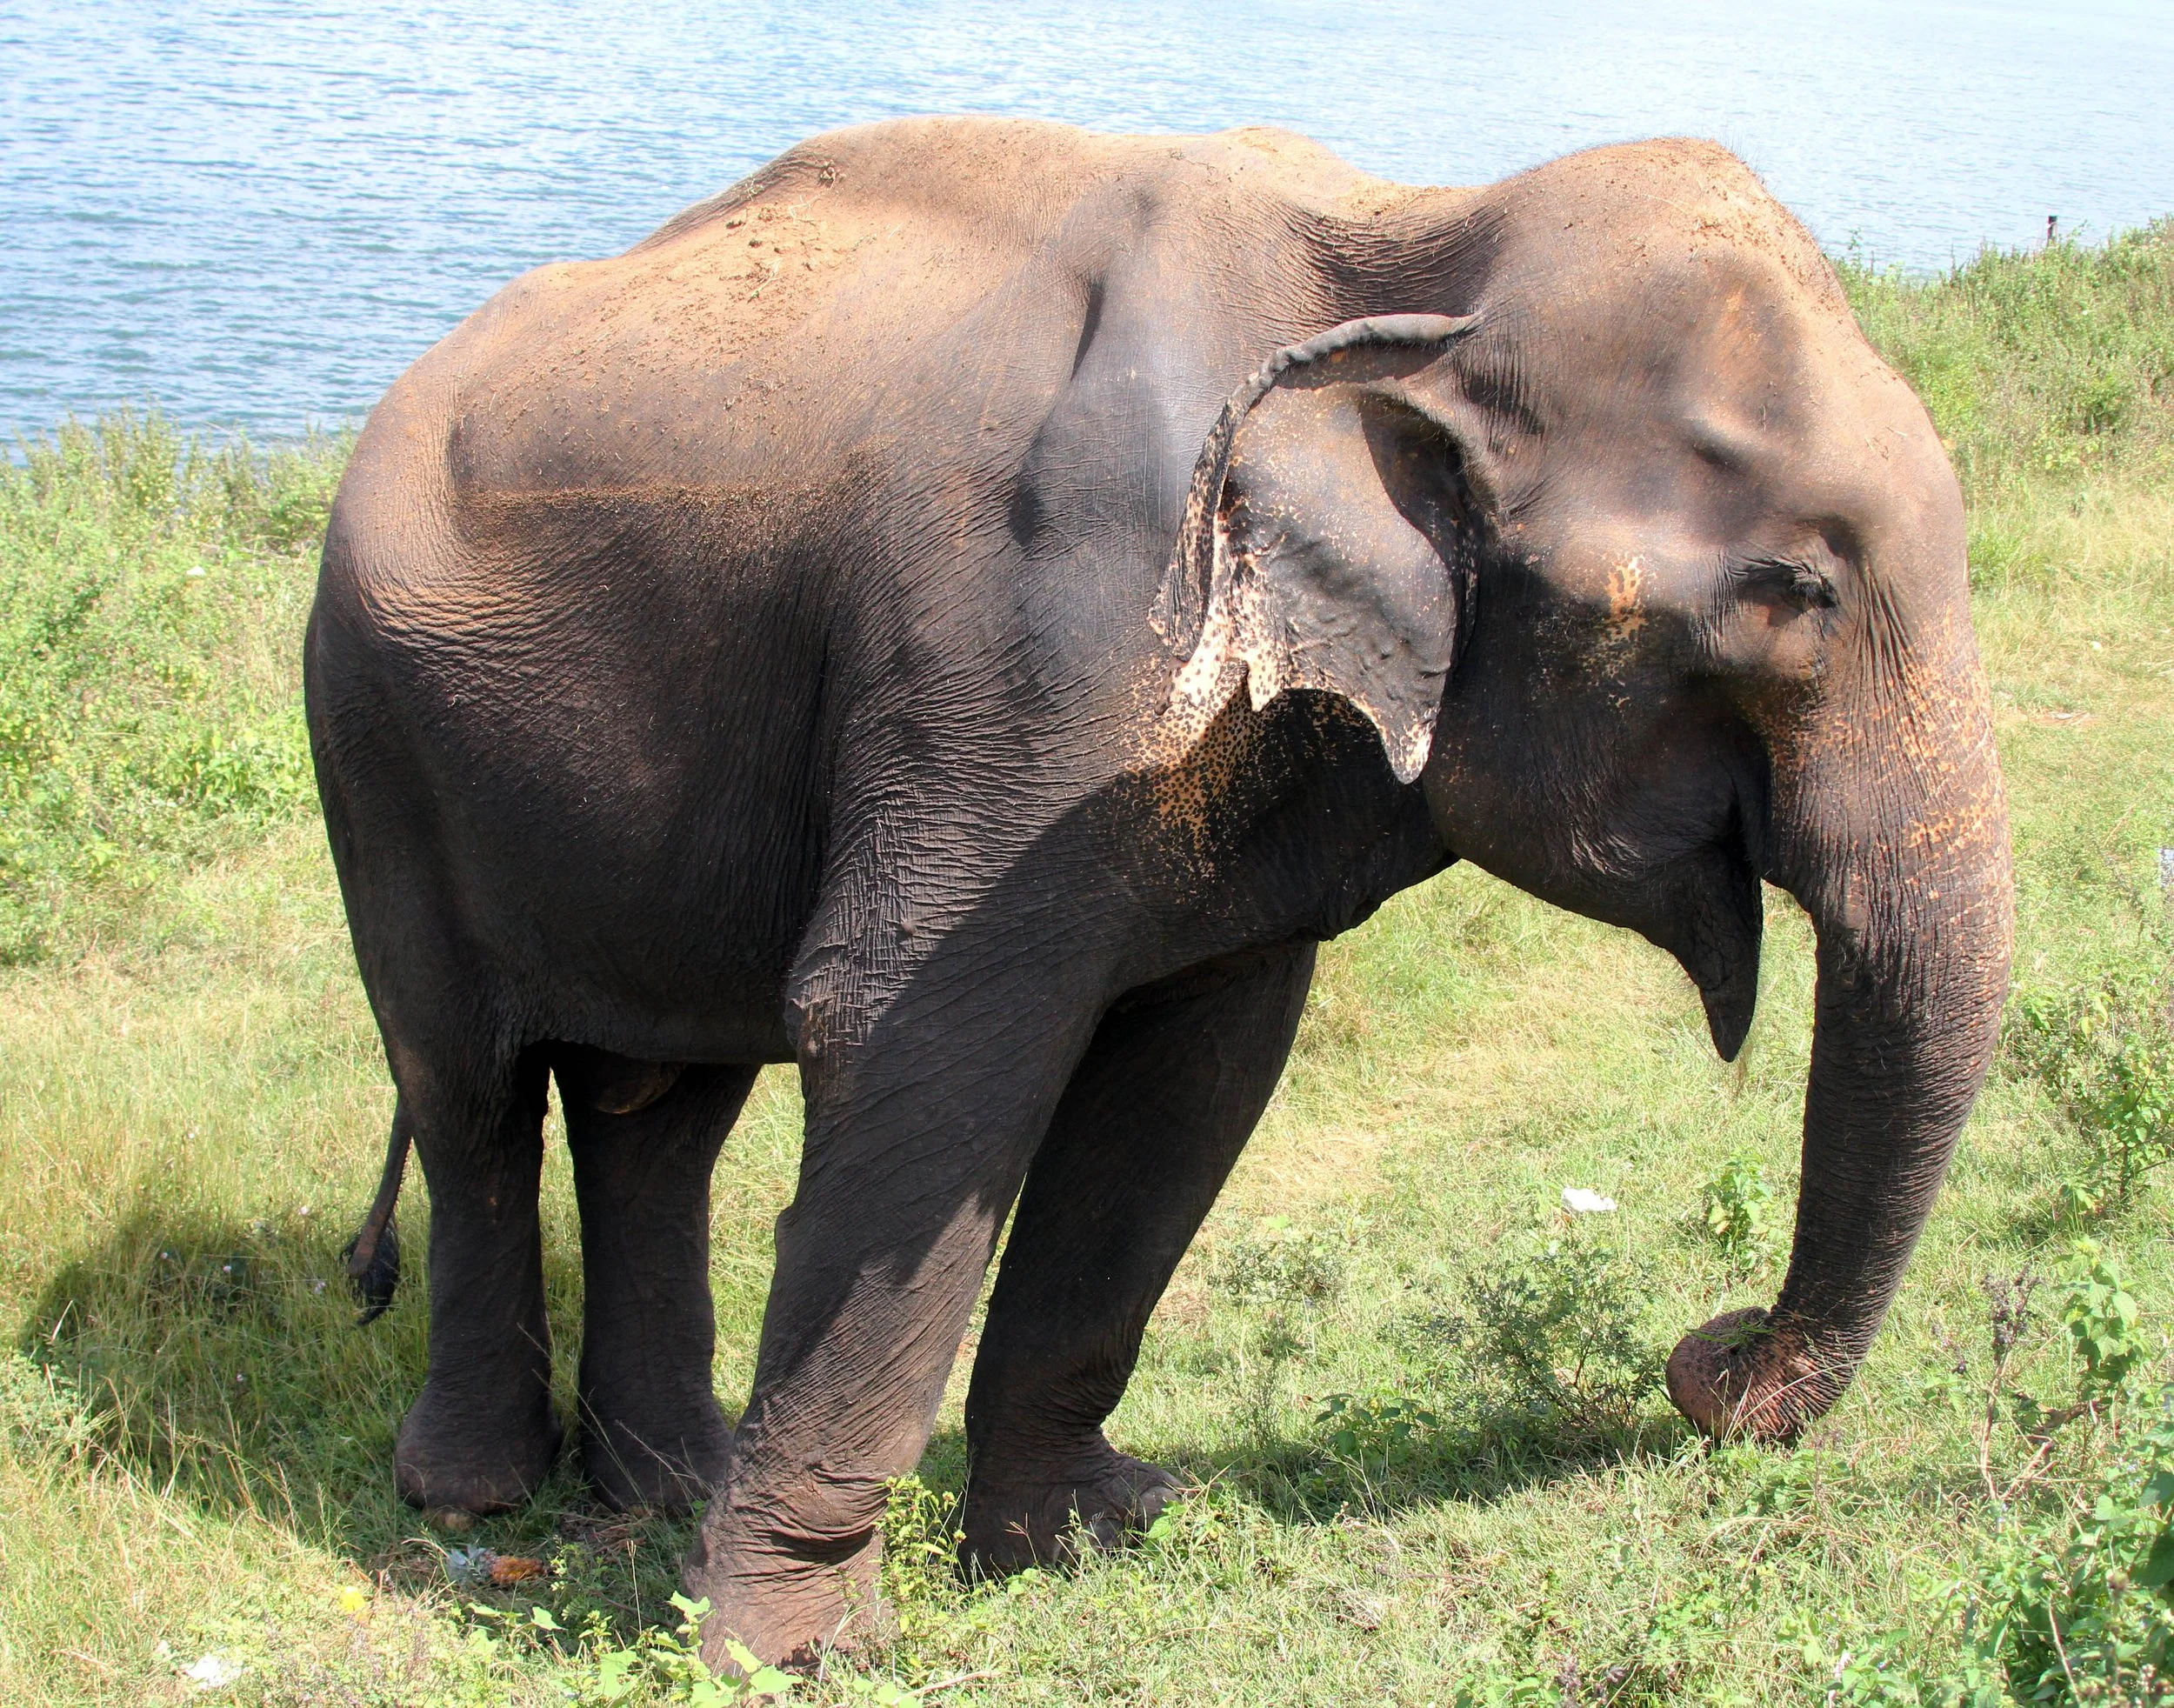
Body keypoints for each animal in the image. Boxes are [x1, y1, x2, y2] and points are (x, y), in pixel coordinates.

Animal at [307, 117, 2013, 1667]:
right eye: (1794, 594)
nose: (1713, 1358)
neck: (1428, 233)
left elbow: (1195, 1070)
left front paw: (1089, 1536)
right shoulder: (1029, 647)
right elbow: (916, 1039)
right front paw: (793, 1653)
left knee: (657, 1107)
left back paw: (665, 1484)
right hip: (373, 734)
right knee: (468, 1091)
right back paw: (478, 1497)